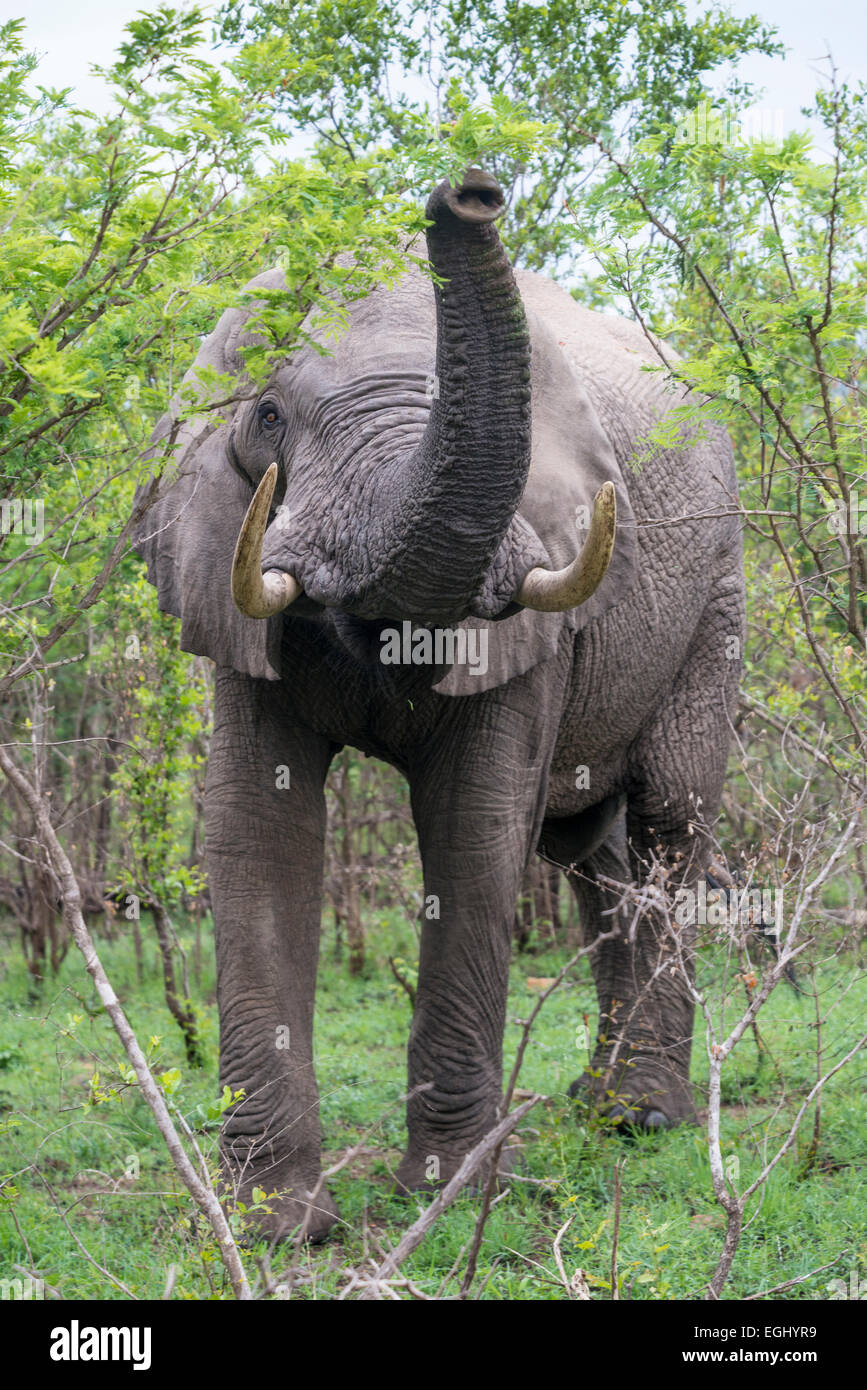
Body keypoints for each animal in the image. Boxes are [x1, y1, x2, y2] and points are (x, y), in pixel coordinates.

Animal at [134, 168, 744, 1245]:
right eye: (268, 417)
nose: (472, 193)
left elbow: (473, 830)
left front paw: (449, 1198)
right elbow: (256, 825)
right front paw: (277, 1226)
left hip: (715, 587)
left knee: (669, 819)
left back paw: (640, 1118)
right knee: (589, 849)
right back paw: (602, 1107)